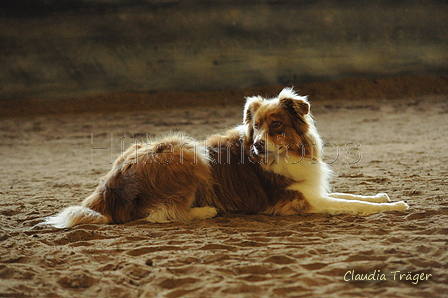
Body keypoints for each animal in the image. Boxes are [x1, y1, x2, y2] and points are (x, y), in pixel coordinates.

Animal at [43, 86, 410, 228]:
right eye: (256, 126)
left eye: (276, 125)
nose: (258, 146)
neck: (288, 153)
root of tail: (108, 184)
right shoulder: (300, 201)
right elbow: (352, 205)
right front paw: (394, 206)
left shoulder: (311, 190)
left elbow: (355, 196)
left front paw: (382, 196)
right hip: (186, 149)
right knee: (159, 215)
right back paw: (205, 210)